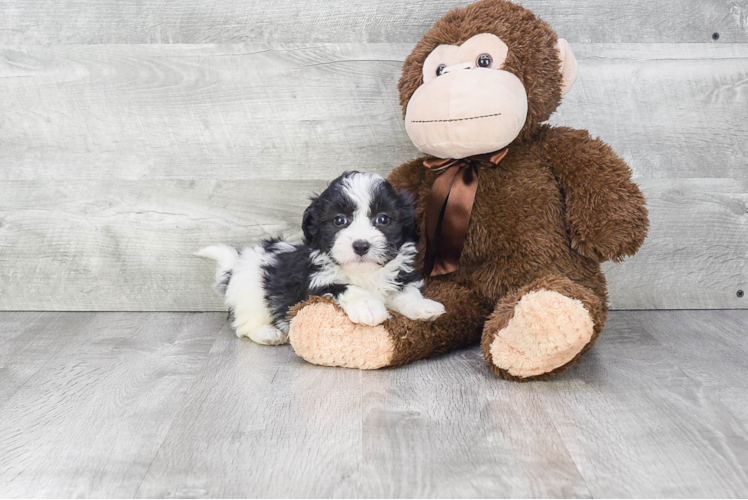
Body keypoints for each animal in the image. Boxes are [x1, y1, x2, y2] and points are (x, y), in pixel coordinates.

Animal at [196, 172, 448, 344]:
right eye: (339, 220)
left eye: (383, 219)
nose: (361, 245)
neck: (364, 274)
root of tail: (236, 265)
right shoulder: (312, 283)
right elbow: (345, 287)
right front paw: (368, 306)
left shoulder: (398, 275)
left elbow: (405, 292)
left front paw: (423, 307)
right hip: (250, 294)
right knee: (244, 325)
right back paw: (269, 333)